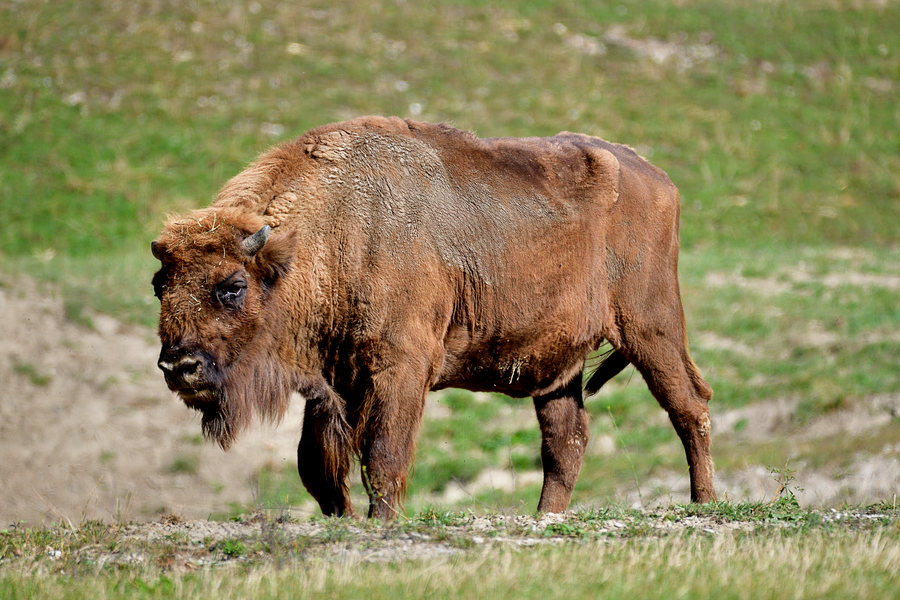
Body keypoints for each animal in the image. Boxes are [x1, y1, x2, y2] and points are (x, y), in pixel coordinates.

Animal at [155, 115, 716, 516]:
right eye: (160, 285)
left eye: (232, 286)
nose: (178, 366)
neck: (327, 235)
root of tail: (658, 179)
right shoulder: (331, 385)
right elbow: (319, 467)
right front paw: (345, 520)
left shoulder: (399, 368)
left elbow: (382, 455)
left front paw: (381, 522)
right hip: (560, 368)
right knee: (566, 439)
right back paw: (545, 517)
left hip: (651, 327)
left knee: (689, 405)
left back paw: (704, 502)